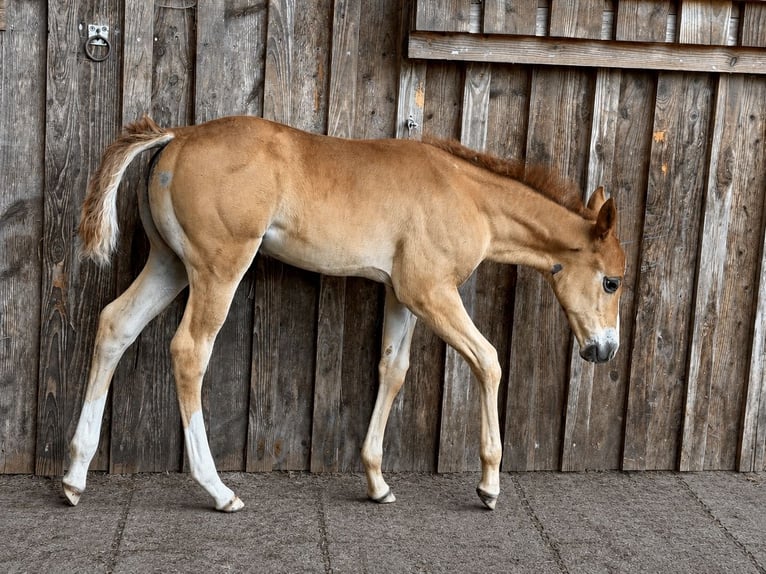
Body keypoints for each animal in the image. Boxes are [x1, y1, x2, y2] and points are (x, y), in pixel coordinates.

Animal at [63, 115, 625, 512]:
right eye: (612, 281)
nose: (605, 349)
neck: (468, 195)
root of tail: (176, 138)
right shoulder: (431, 291)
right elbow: (488, 361)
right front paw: (489, 486)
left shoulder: (402, 295)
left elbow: (393, 371)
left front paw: (377, 482)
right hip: (218, 267)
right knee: (189, 351)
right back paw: (219, 491)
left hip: (169, 263)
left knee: (115, 325)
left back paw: (73, 478)